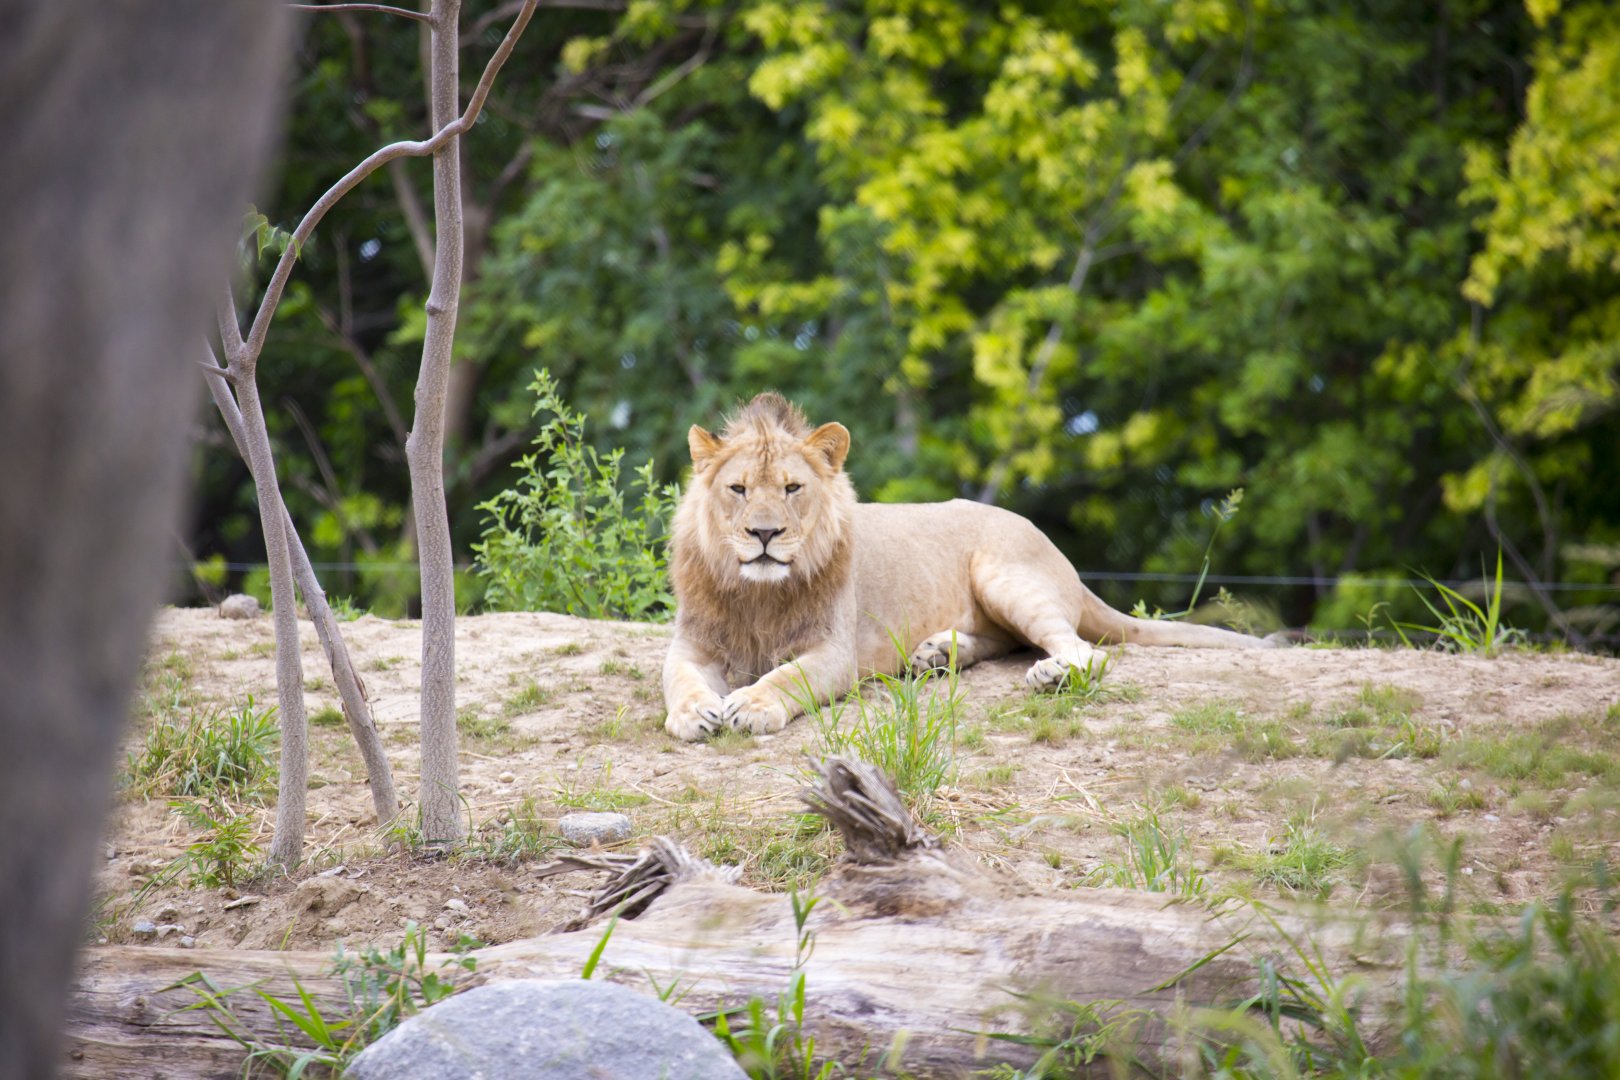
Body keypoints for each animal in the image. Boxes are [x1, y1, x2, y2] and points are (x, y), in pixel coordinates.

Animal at [662, 393, 1268, 740]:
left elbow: (789, 676)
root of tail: (1062, 558)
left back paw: (1050, 674)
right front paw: (694, 714)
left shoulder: (835, 651)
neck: (757, 592)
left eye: (792, 489)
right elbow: (680, 679)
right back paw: (938, 654)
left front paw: (751, 704)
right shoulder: (691, 643)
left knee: (1082, 649)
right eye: (739, 490)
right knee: (1009, 641)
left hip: (1005, 575)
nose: (764, 534)